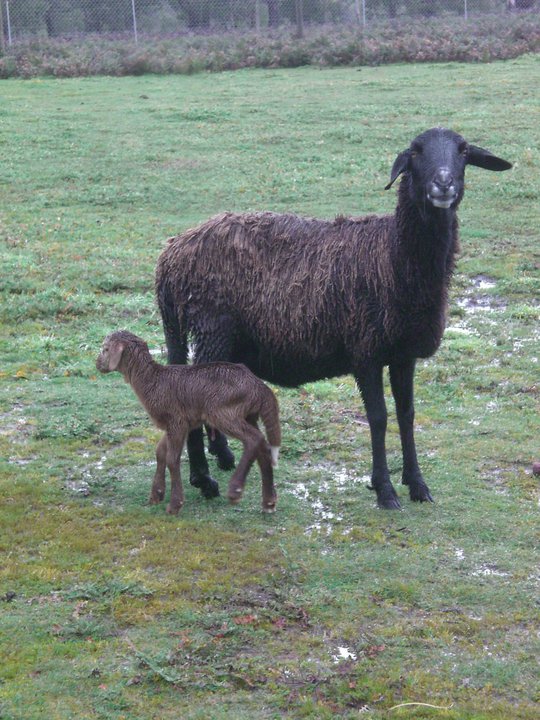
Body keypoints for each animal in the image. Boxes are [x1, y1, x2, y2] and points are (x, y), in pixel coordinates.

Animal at [95, 330, 281, 514]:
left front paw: (175, 504)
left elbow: (172, 459)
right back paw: (268, 502)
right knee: (262, 446)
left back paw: (235, 490)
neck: (151, 380)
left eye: (105, 349)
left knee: (254, 439)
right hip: (248, 415)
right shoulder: (175, 425)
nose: (97, 364)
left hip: (224, 412)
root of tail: (259, 386)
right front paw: (157, 494)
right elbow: (160, 452)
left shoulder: (177, 421)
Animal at [155, 127, 511, 510]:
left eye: (463, 151)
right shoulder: (365, 350)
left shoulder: (403, 354)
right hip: (213, 328)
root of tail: (171, 254)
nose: (443, 184)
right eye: (416, 152)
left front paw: (417, 484)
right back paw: (203, 479)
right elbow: (378, 418)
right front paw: (384, 490)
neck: (392, 255)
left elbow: (407, 414)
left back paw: (221, 458)